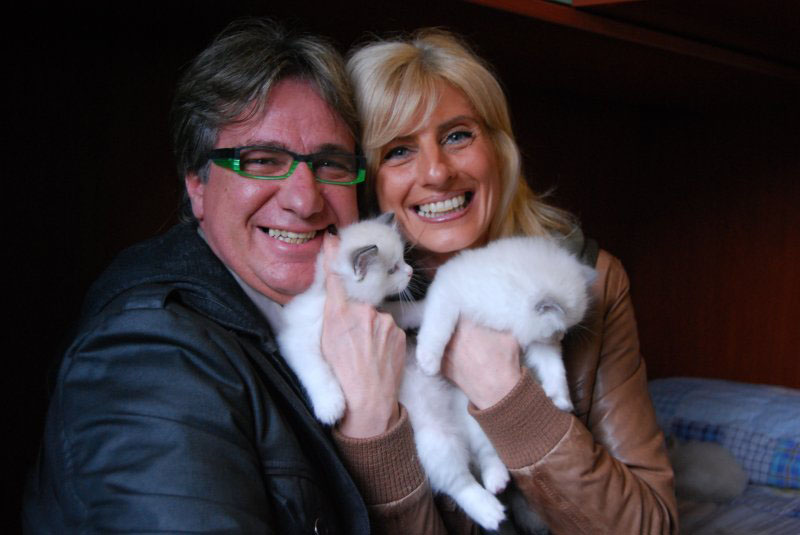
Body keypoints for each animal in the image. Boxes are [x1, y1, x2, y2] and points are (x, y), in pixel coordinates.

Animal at [278, 212, 412, 425]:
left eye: (403, 259)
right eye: (392, 270)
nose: (411, 271)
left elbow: (405, 311)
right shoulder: (296, 338)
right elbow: (316, 369)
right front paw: (330, 406)